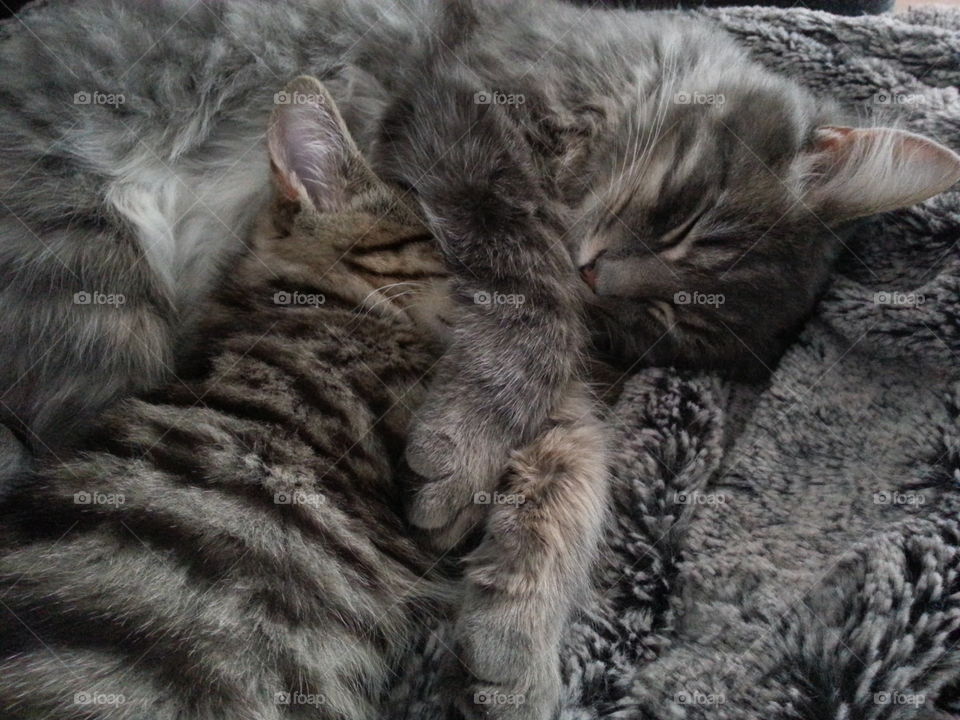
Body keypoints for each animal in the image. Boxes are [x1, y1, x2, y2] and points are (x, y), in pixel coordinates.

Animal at [1, 0, 960, 528]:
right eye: (687, 223)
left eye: (657, 323)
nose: (602, 281)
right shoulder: (466, 121)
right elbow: (529, 292)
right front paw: (467, 447)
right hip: (100, 296)